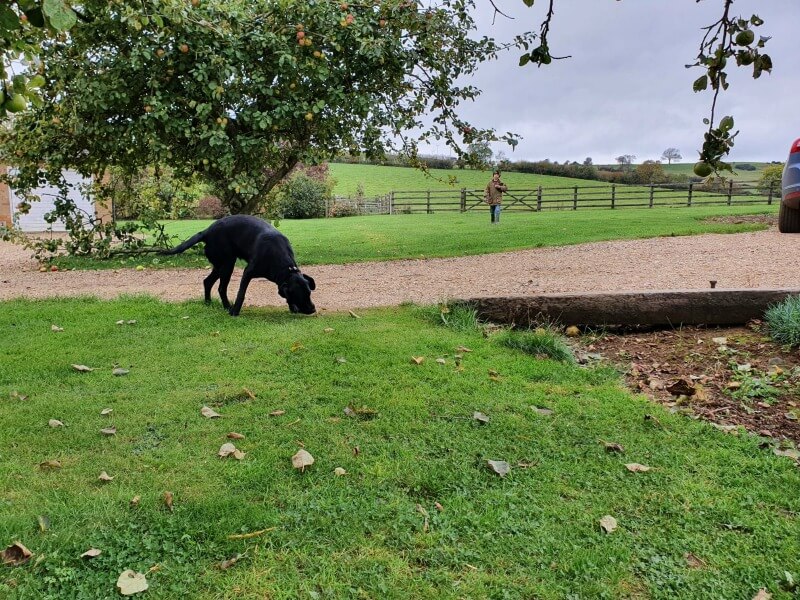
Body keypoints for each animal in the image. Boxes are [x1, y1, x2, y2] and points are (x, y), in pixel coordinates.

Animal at [161, 216, 314, 318]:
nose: (313, 309)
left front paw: (292, 307)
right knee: (221, 288)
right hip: (227, 264)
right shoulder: (248, 272)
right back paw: (227, 307)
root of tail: (207, 231)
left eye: (309, 293)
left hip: (220, 265)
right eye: (300, 296)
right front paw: (235, 311)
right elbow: (241, 293)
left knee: (207, 281)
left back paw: (208, 303)